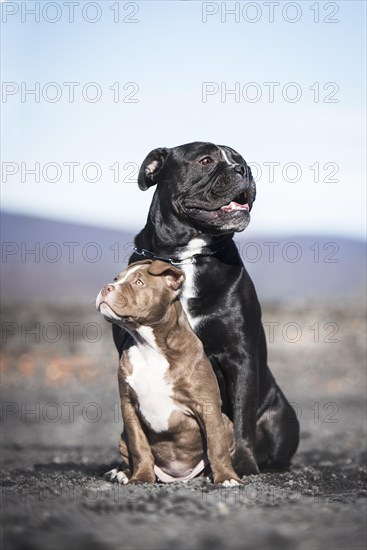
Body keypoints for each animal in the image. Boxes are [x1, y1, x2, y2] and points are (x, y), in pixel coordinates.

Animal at [96, 260, 243, 488]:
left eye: (139, 282)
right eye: (117, 279)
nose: (106, 288)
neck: (150, 347)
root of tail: (177, 477)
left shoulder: (207, 405)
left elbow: (216, 445)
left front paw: (227, 477)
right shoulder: (129, 406)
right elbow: (139, 446)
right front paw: (140, 477)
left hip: (226, 422)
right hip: (122, 436)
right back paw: (122, 473)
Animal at [113, 142, 300, 478]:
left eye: (241, 161)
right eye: (206, 160)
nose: (244, 170)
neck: (187, 257)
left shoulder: (239, 355)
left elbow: (241, 416)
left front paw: (242, 464)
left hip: (281, 417)